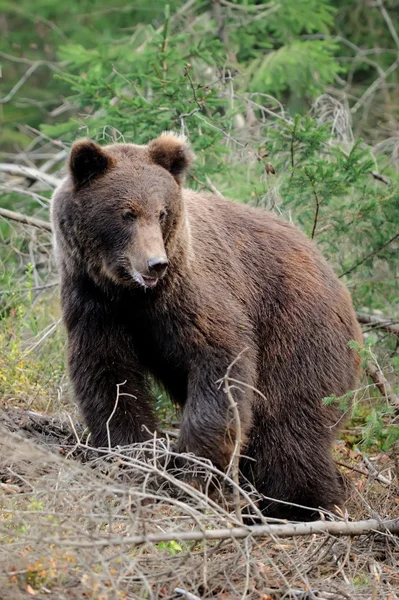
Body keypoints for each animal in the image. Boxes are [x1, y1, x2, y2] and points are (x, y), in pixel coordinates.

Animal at [51, 132, 364, 520]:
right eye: (127, 213)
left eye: (162, 212)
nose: (155, 264)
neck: (129, 292)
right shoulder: (94, 303)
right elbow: (109, 375)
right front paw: (132, 454)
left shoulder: (189, 294)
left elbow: (221, 361)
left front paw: (194, 472)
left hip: (299, 332)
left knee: (290, 427)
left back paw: (302, 505)